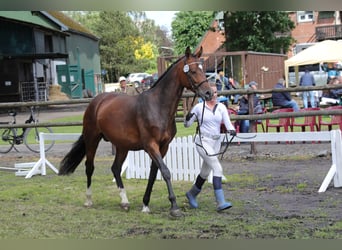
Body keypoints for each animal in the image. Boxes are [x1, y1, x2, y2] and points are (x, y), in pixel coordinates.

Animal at [60, 46, 212, 217]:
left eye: (203, 69)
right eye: (192, 71)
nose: (209, 93)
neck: (158, 106)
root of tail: (96, 101)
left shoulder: (163, 146)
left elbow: (154, 173)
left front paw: (145, 204)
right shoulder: (150, 145)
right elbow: (165, 171)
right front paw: (174, 207)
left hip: (122, 146)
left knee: (115, 168)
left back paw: (125, 202)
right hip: (92, 139)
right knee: (89, 167)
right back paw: (88, 200)